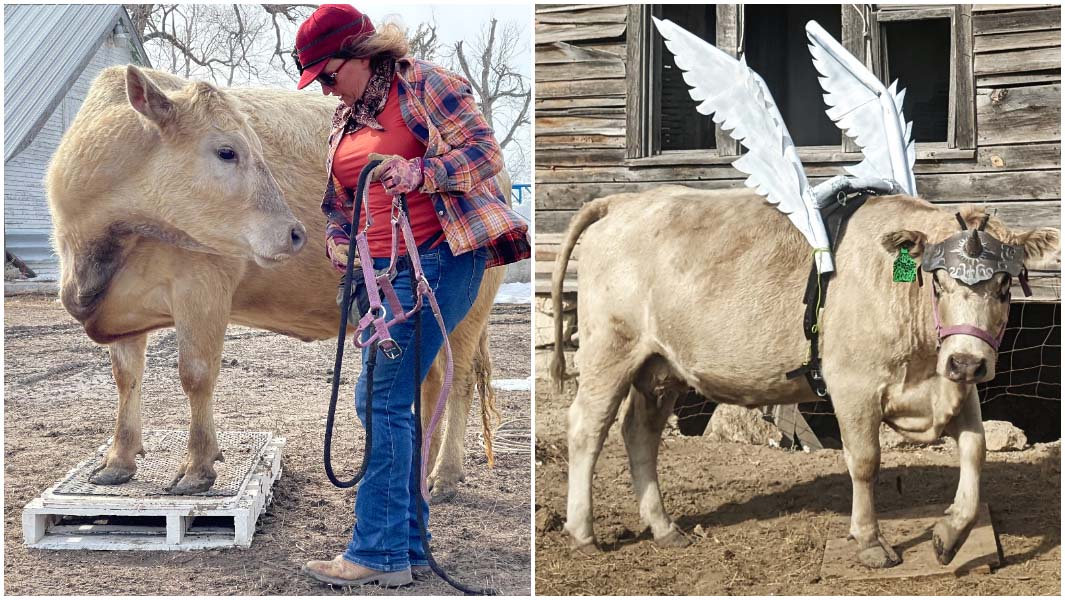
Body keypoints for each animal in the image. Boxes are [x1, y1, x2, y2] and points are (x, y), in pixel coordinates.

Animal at [46, 64, 504, 500]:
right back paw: (421, 470)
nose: (295, 233)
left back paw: (444, 474)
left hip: (468, 310)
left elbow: (196, 374)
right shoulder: (124, 304)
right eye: (227, 151)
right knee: (429, 380)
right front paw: (118, 461)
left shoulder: (202, 286)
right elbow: (126, 378)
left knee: (459, 380)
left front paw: (197, 468)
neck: (94, 248)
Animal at [551, 186, 1058, 568]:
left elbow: (976, 449)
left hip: (659, 366)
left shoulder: (949, 383)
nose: (969, 364)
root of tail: (624, 201)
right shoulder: (853, 384)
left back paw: (664, 528)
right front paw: (870, 542)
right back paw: (582, 531)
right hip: (609, 350)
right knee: (587, 428)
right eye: (938, 282)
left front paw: (949, 534)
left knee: (640, 432)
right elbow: (865, 461)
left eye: (1004, 286)